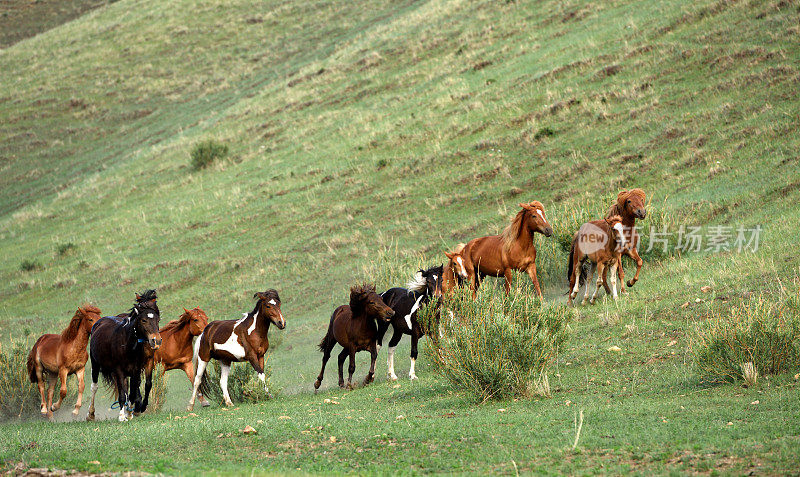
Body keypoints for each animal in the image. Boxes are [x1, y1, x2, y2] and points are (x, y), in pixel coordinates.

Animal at [86, 286, 162, 420]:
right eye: (143, 320)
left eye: (158, 319)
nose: (156, 341)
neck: (128, 344)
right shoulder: (119, 369)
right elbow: (122, 393)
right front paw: (122, 416)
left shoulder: (138, 369)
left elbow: (136, 389)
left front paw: (133, 411)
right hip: (95, 364)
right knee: (94, 387)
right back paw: (90, 414)